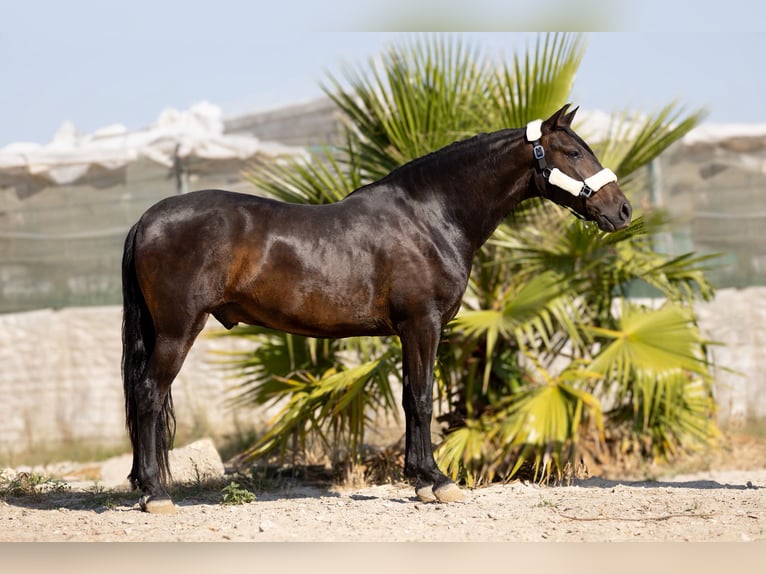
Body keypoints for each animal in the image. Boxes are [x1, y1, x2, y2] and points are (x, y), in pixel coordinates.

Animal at [122, 104, 632, 513]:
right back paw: (155, 494)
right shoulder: (422, 325)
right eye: (573, 153)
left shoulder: (411, 330)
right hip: (177, 330)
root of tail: (146, 219)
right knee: (148, 395)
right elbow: (422, 399)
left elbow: (410, 397)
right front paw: (437, 482)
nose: (623, 210)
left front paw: (421, 482)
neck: (430, 215)